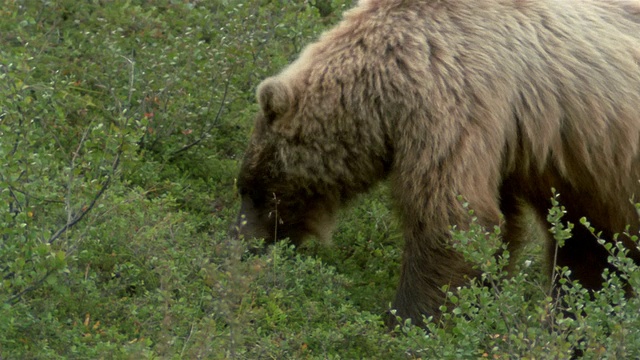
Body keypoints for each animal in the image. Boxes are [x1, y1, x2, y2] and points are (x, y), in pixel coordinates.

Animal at [234, 0, 640, 326]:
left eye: (255, 191)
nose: (239, 245)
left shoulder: (452, 95)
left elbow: (451, 216)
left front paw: (408, 319)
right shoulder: (502, 145)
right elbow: (499, 223)